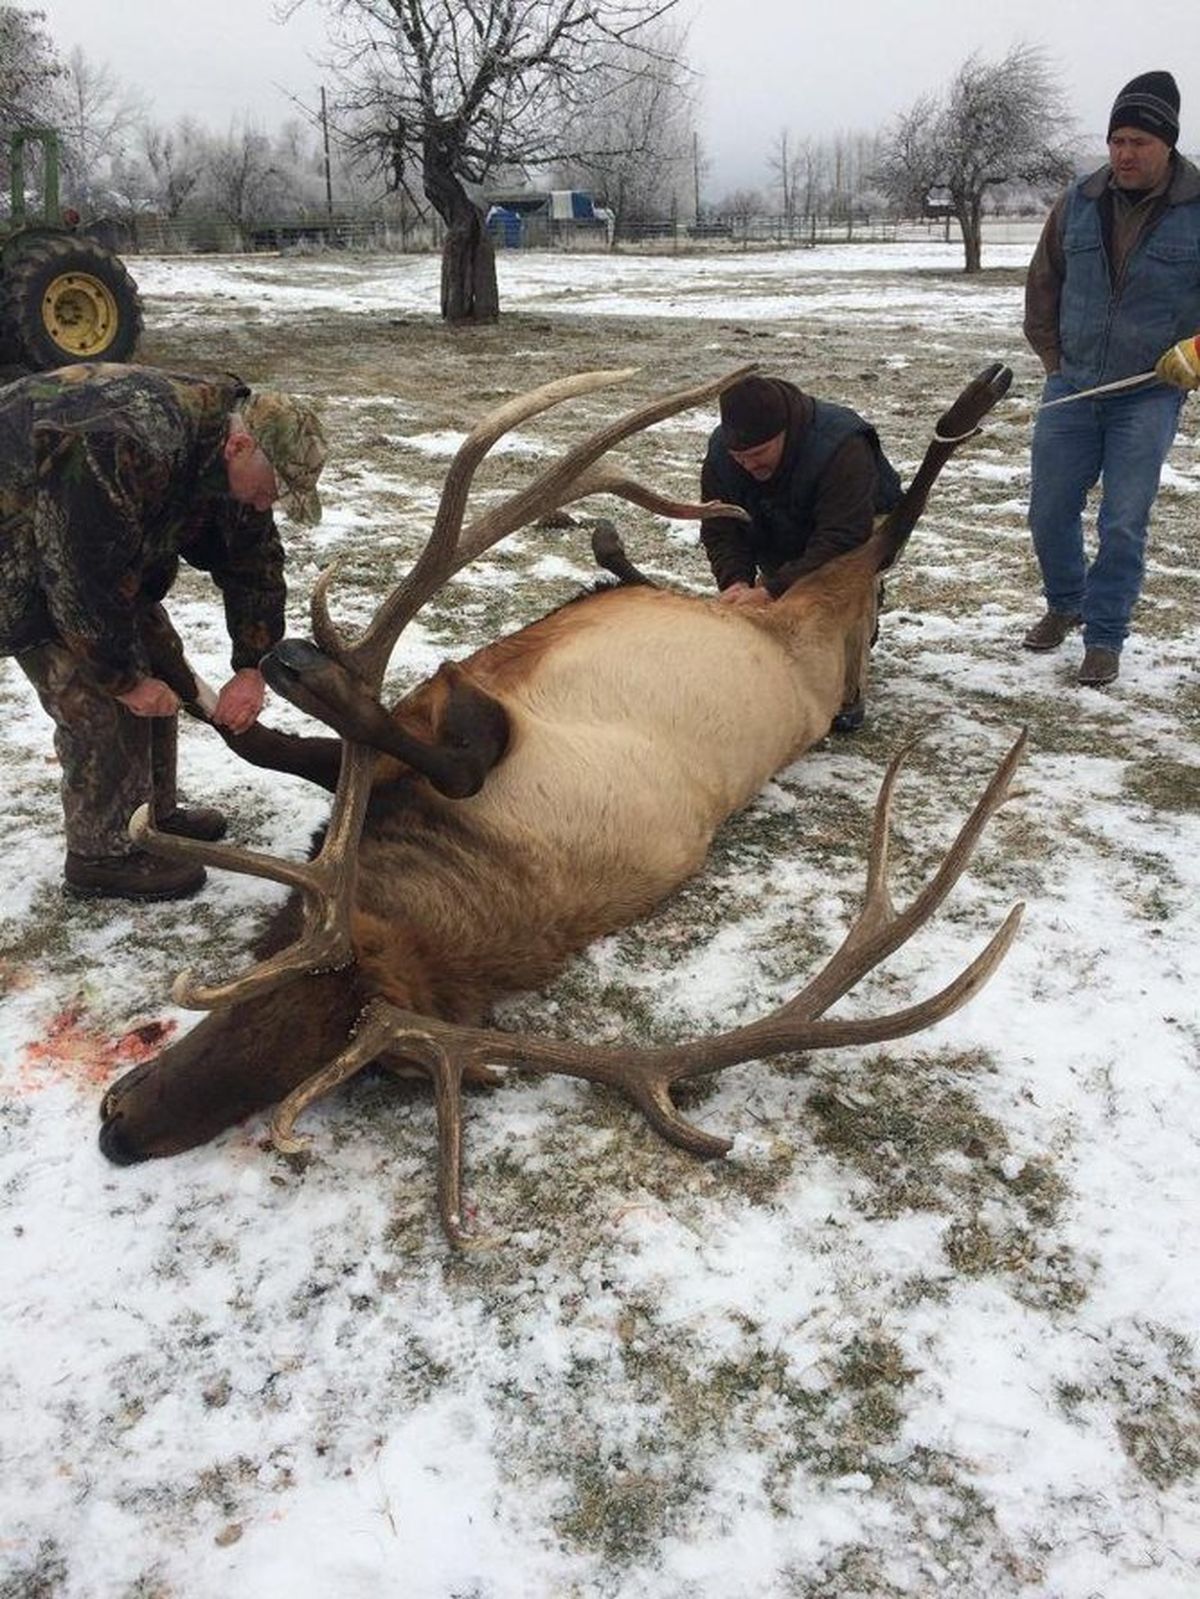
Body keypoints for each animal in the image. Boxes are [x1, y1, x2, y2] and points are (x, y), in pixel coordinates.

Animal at [98, 359, 1030, 1234]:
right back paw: (617, 545)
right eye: (256, 979)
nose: (118, 1129)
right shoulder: (419, 730)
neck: (458, 856)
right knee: (725, 569)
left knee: (877, 540)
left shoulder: (461, 723)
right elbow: (270, 740)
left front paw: (281, 669)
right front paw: (195, 669)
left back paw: (968, 406)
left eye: (316, 1061)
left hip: (820, 621)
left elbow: (420, 747)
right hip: (755, 605)